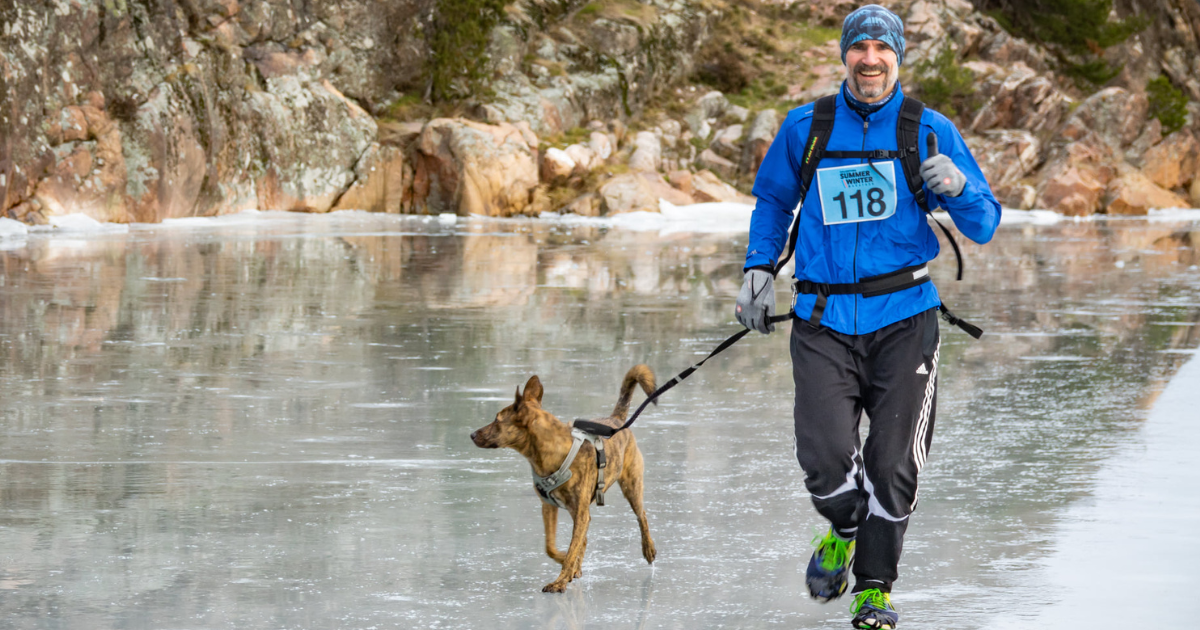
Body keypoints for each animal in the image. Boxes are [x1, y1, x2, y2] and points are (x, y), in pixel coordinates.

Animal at [470, 362, 662, 590]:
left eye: (497, 420)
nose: (472, 435)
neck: (549, 454)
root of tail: (615, 419)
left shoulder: (580, 511)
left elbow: (572, 549)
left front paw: (560, 580)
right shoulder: (549, 506)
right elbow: (551, 546)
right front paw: (566, 563)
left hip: (631, 484)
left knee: (642, 515)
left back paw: (648, 548)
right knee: (584, 539)